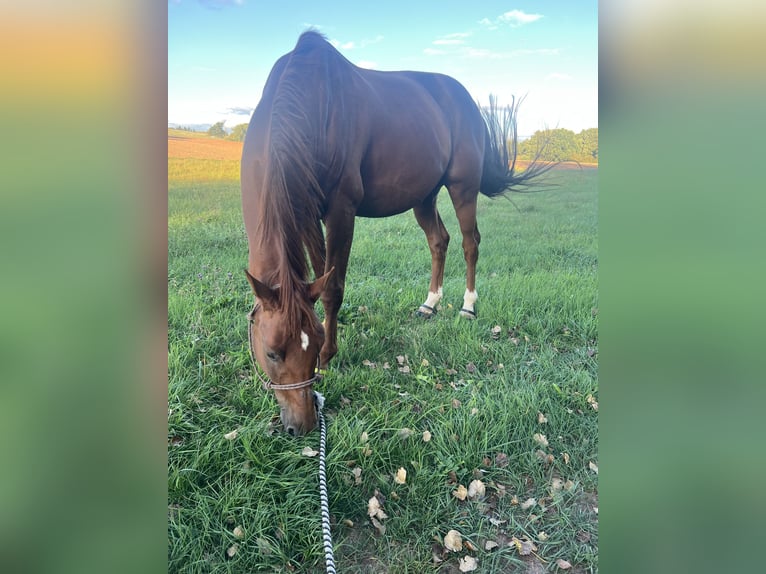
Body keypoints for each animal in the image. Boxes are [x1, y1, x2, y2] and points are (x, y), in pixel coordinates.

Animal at [241, 31, 550, 435]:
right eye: (273, 352)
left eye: (312, 344)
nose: (304, 424)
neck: (310, 106)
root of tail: (465, 98)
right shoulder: (308, 215)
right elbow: (321, 276)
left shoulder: (341, 211)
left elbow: (333, 287)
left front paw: (330, 355)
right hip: (423, 197)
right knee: (439, 241)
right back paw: (429, 304)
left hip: (463, 188)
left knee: (470, 243)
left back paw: (467, 306)